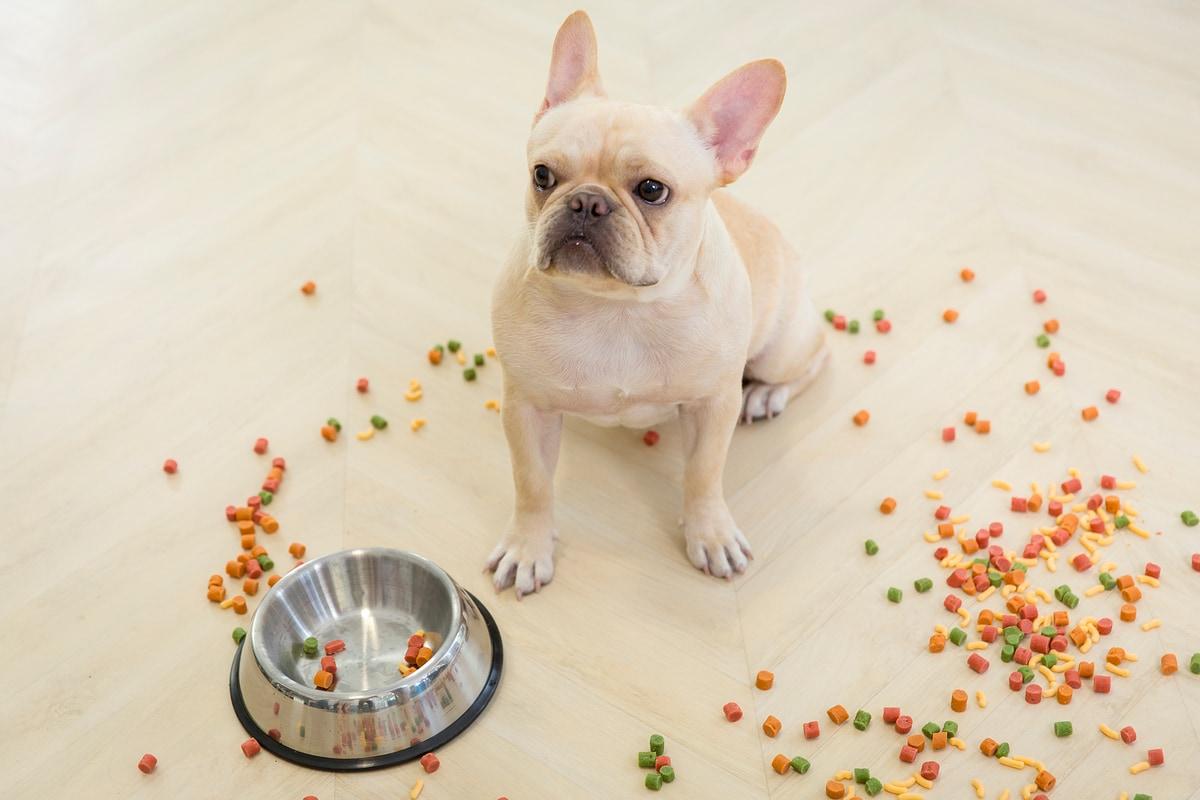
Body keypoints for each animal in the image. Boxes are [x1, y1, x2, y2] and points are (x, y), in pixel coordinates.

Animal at [484, 6, 825, 594]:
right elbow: (532, 483)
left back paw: (765, 395)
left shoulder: (713, 404)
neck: (615, 308)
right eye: (542, 175)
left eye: (651, 190)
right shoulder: (525, 407)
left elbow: (704, 474)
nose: (586, 203)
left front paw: (710, 532)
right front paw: (529, 546)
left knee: (814, 358)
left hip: (782, 345)